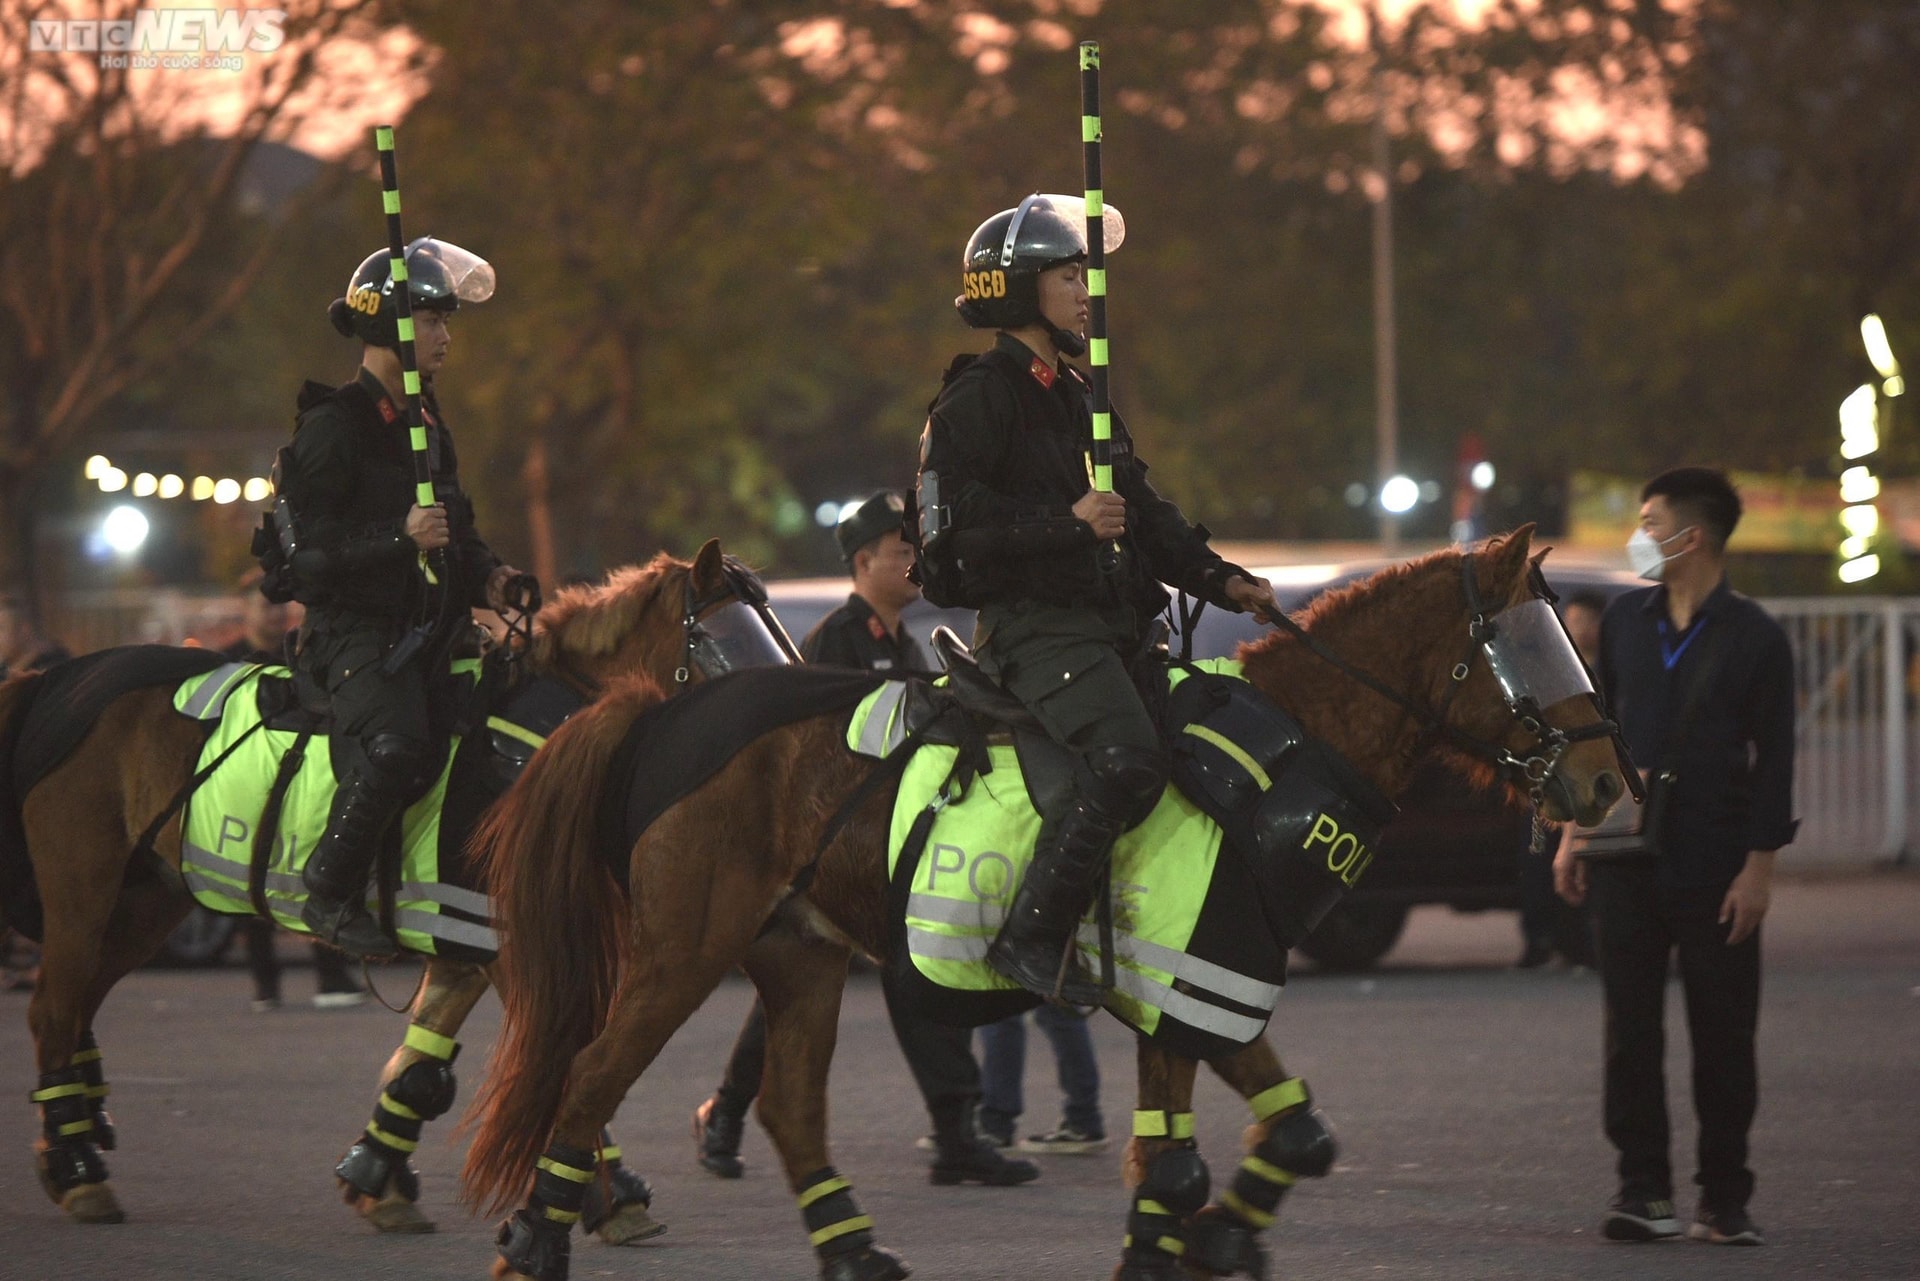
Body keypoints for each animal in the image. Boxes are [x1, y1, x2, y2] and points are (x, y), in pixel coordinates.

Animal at [0, 537, 783, 1229]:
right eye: (718, 641)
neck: (530, 749)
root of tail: (51, 680)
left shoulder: (465, 939)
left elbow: (417, 1069)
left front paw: (377, 1177)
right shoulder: (502, 940)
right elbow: (562, 1060)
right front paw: (612, 1196)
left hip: (145, 903)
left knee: (76, 1009)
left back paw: (70, 1142)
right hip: (83, 897)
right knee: (52, 1012)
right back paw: (79, 1172)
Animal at [460, 526, 1620, 1275]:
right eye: (1527, 645)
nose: (1611, 784)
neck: (1274, 757)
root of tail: (659, 713)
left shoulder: (1191, 995)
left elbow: (1225, 1153)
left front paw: (1219, 1237)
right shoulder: (1203, 986)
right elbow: (1209, 1159)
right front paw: (1222, 1234)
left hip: (800, 953)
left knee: (789, 1106)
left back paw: (854, 1250)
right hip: (682, 952)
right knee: (590, 1076)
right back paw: (537, 1240)